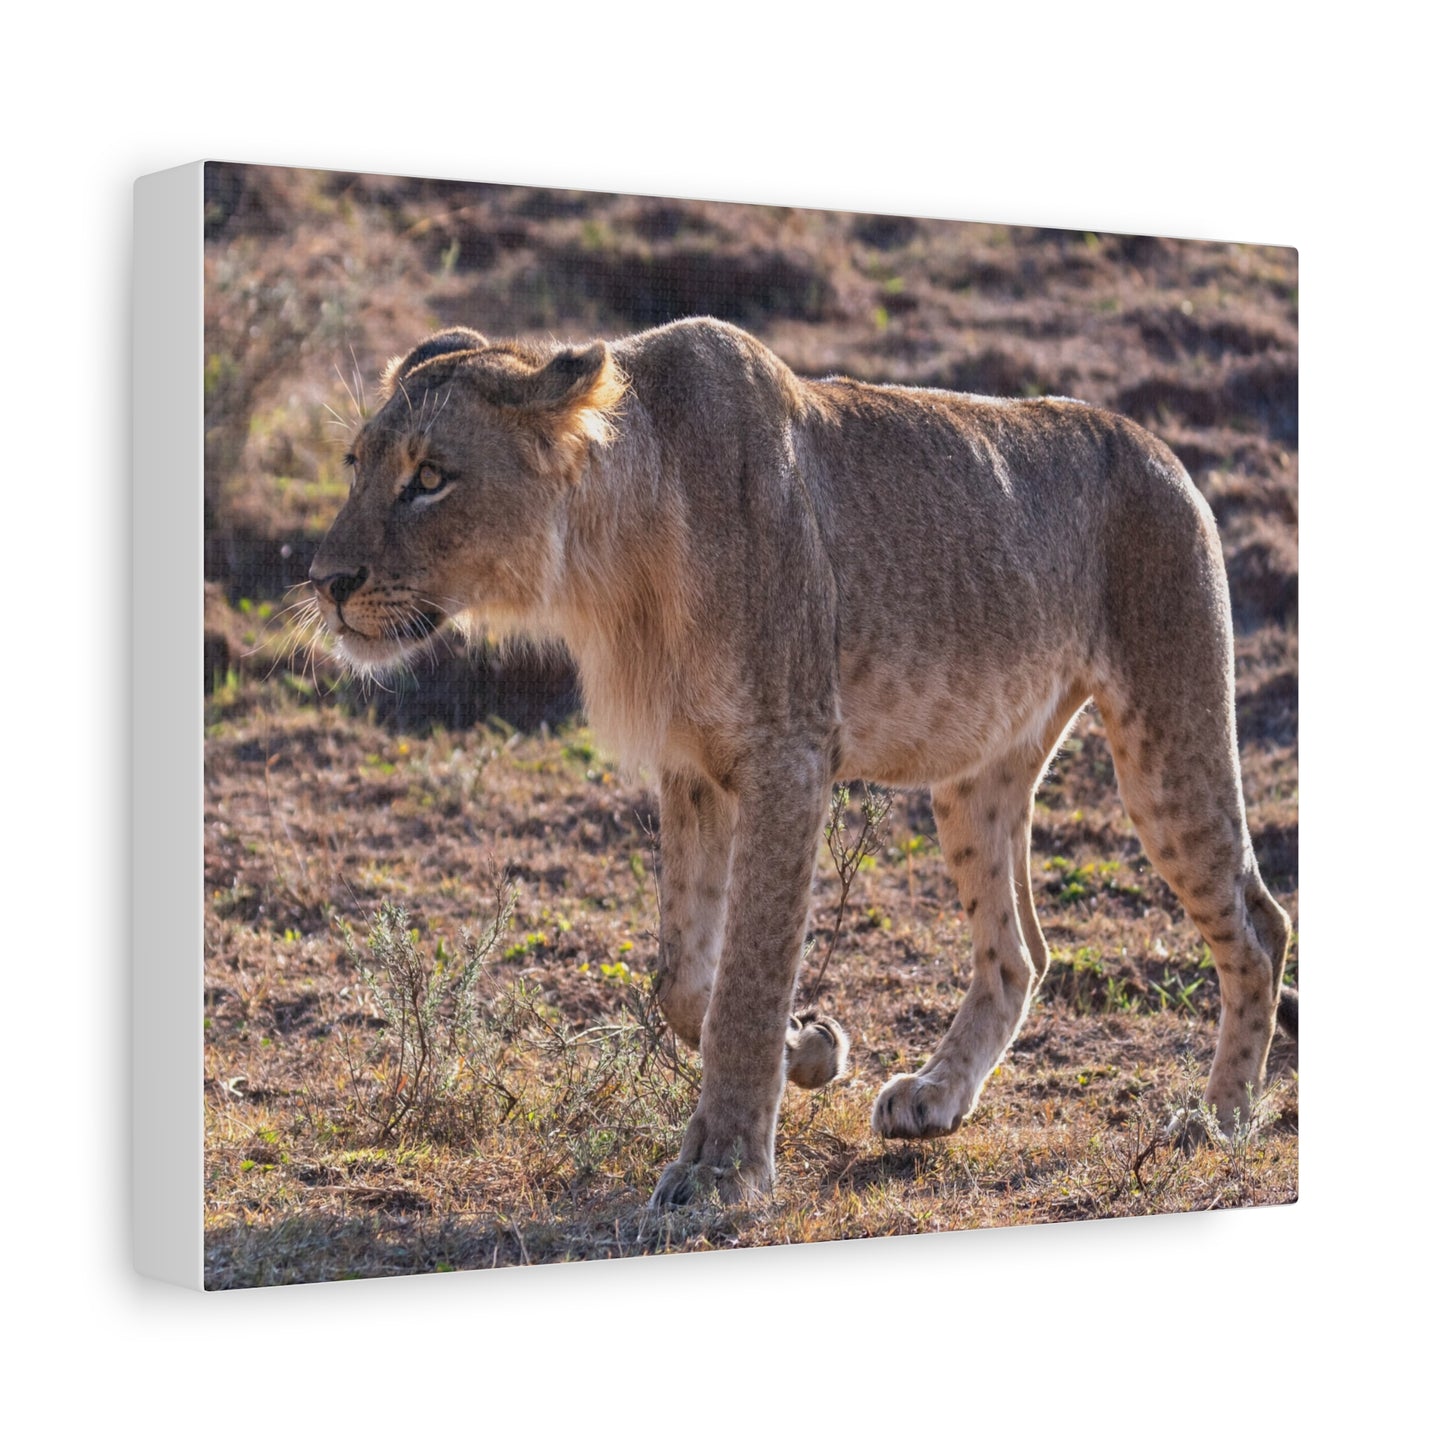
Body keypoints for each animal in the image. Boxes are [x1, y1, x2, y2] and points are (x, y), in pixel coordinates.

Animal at [310, 316, 1294, 1207]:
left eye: (430, 478)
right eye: (357, 464)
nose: (325, 580)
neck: (610, 566)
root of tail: (1157, 447)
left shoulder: (789, 754)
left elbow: (748, 975)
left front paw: (721, 1172)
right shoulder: (691, 767)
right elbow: (684, 981)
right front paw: (812, 1049)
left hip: (1167, 730)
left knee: (1257, 921)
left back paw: (1216, 1119)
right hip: (978, 771)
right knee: (1020, 950)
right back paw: (935, 1097)